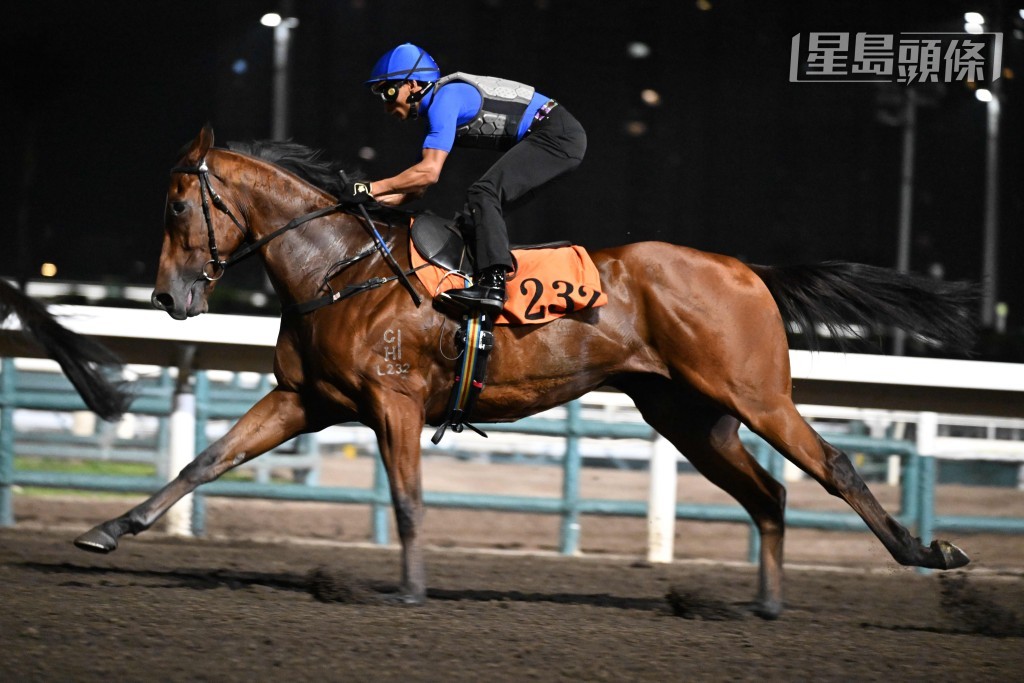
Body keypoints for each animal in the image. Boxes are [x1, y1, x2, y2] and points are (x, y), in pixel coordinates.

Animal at [74, 125, 976, 618]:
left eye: (177, 207)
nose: (167, 295)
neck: (339, 266)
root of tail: (750, 270)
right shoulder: (303, 397)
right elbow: (204, 459)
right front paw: (110, 527)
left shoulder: (394, 403)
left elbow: (407, 499)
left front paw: (408, 590)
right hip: (689, 414)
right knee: (770, 495)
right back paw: (765, 601)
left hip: (755, 394)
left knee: (833, 465)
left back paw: (927, 552)